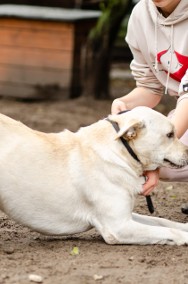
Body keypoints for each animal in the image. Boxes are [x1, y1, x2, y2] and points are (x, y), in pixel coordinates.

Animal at [0, 106, 188, 244]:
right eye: (170, 135)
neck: (121, 151)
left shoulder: (125, 216)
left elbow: (163, 222)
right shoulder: (119, 227)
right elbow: (168, 230)